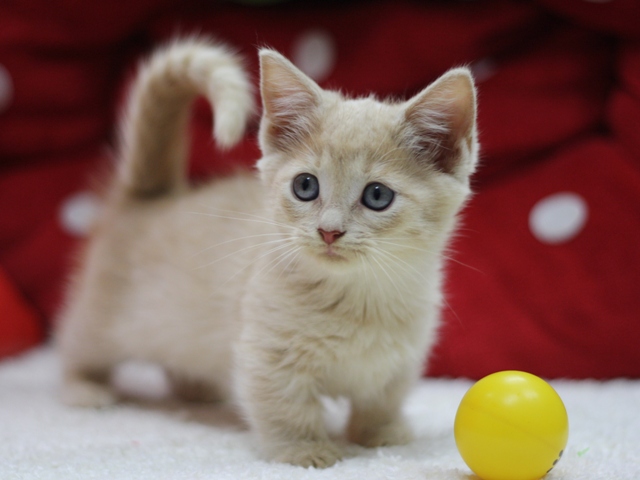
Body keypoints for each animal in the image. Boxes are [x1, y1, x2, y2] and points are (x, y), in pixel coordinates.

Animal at [57, 37, 478, 468]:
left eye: (378, 195)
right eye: (306, 186)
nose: (329, 231)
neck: (359, 298)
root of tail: (150, 198)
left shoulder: (401, 360)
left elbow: (383, 399)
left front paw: (382, 435)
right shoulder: (268, 356)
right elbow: (286, 408)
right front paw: (304, 450)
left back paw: (197, 388)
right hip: (103, 319)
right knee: (75, 347)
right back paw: (84, 389)